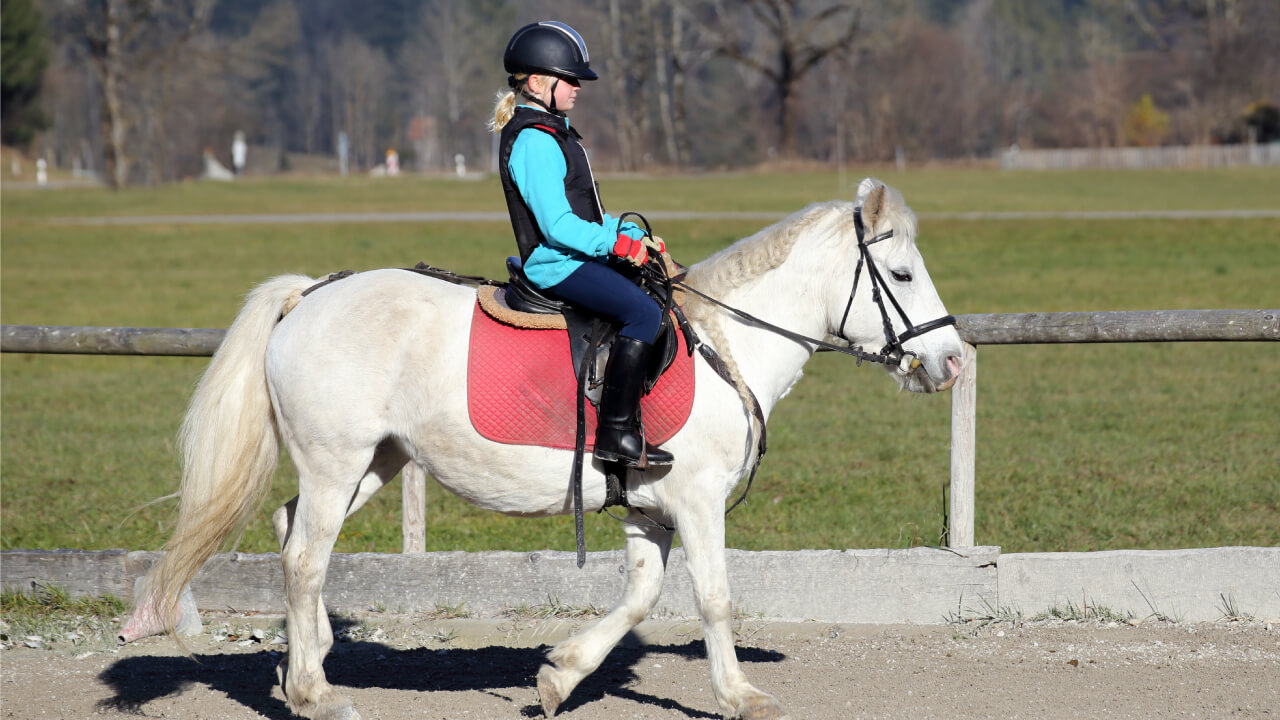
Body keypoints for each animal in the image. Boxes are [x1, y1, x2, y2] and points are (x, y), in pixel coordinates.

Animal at [127, 177, 965, 720]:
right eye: (900, 273)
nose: (951, 360)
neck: (725, 343)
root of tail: (312, 292)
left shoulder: (650, 508)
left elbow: (640, 597)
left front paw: (561, 675)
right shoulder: (696, 501)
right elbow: (716, 598)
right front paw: (739, 696)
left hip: (373, 461)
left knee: (291, 531)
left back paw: (310, 656)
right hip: (338, 460)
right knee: (304, 557)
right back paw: (314, 694)